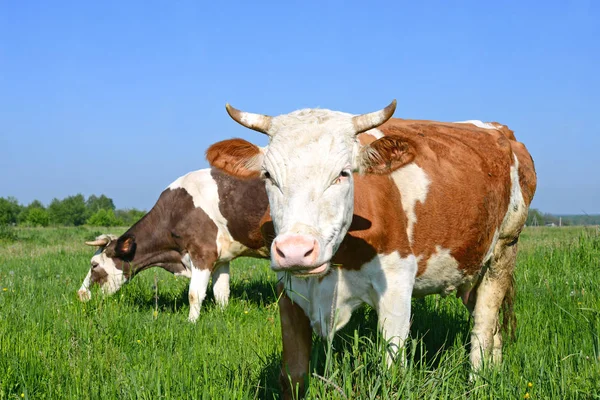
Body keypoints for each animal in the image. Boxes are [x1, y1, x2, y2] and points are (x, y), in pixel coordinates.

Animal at [77, 168, 268, 322]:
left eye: (94, 265)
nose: (81, 295)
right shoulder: (222, 258)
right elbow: (221, 293)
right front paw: (222, 316)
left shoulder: (203, 253)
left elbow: (194, 294)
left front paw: (191, 323)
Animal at [207, 101, 540, 398]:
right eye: (268, 176)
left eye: (343, 173)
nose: (295, 251)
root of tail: (502, 131)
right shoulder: (289, 291)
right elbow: (294, 376)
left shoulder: (396, 286)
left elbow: (392, 374)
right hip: (470, 266)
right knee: (492, 327)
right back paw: (494, 371)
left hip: (504, 249)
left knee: (483, 325)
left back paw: (480, 382)